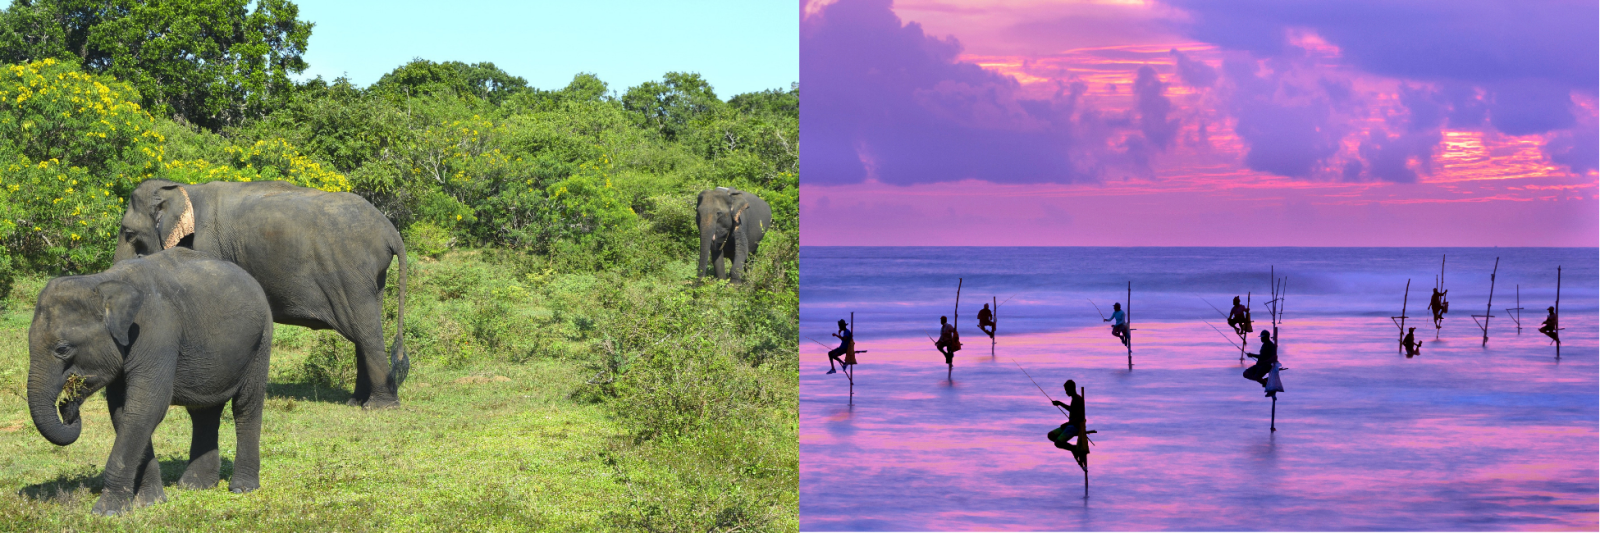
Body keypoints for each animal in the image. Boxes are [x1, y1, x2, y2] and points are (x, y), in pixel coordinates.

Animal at [25, 246, 272, 512]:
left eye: (62, 349)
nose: (66, 406)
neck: (103, 282)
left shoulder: (156, 334)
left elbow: (147, 406)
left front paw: (107, 511)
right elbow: (123, 411)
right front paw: (150, 502)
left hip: (261, 340)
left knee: (246, 405)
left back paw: (241, 488)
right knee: (204, 412)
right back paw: (195, 486)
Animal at [115, 178, 409, 406]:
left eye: (129, 233)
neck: (184, 189)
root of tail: (390, 231)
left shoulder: (208, 247)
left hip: (351, 272)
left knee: (365, 331)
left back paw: (378, 406)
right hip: (370, 279)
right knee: (363, 330)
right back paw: (356, 401)